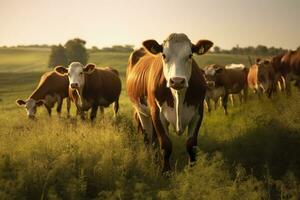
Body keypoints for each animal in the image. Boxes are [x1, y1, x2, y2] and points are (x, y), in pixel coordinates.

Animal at [126, 33, 213, 172]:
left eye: (190, 55)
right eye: (164, 55)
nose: (177, 81)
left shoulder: (198, 113)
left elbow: (191, 145)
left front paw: (192, 171)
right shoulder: (157, 113)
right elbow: (166, 145)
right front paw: (166, 171)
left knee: (153, 139)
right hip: (142, 111)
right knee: (147, 137)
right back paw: (150, 160)